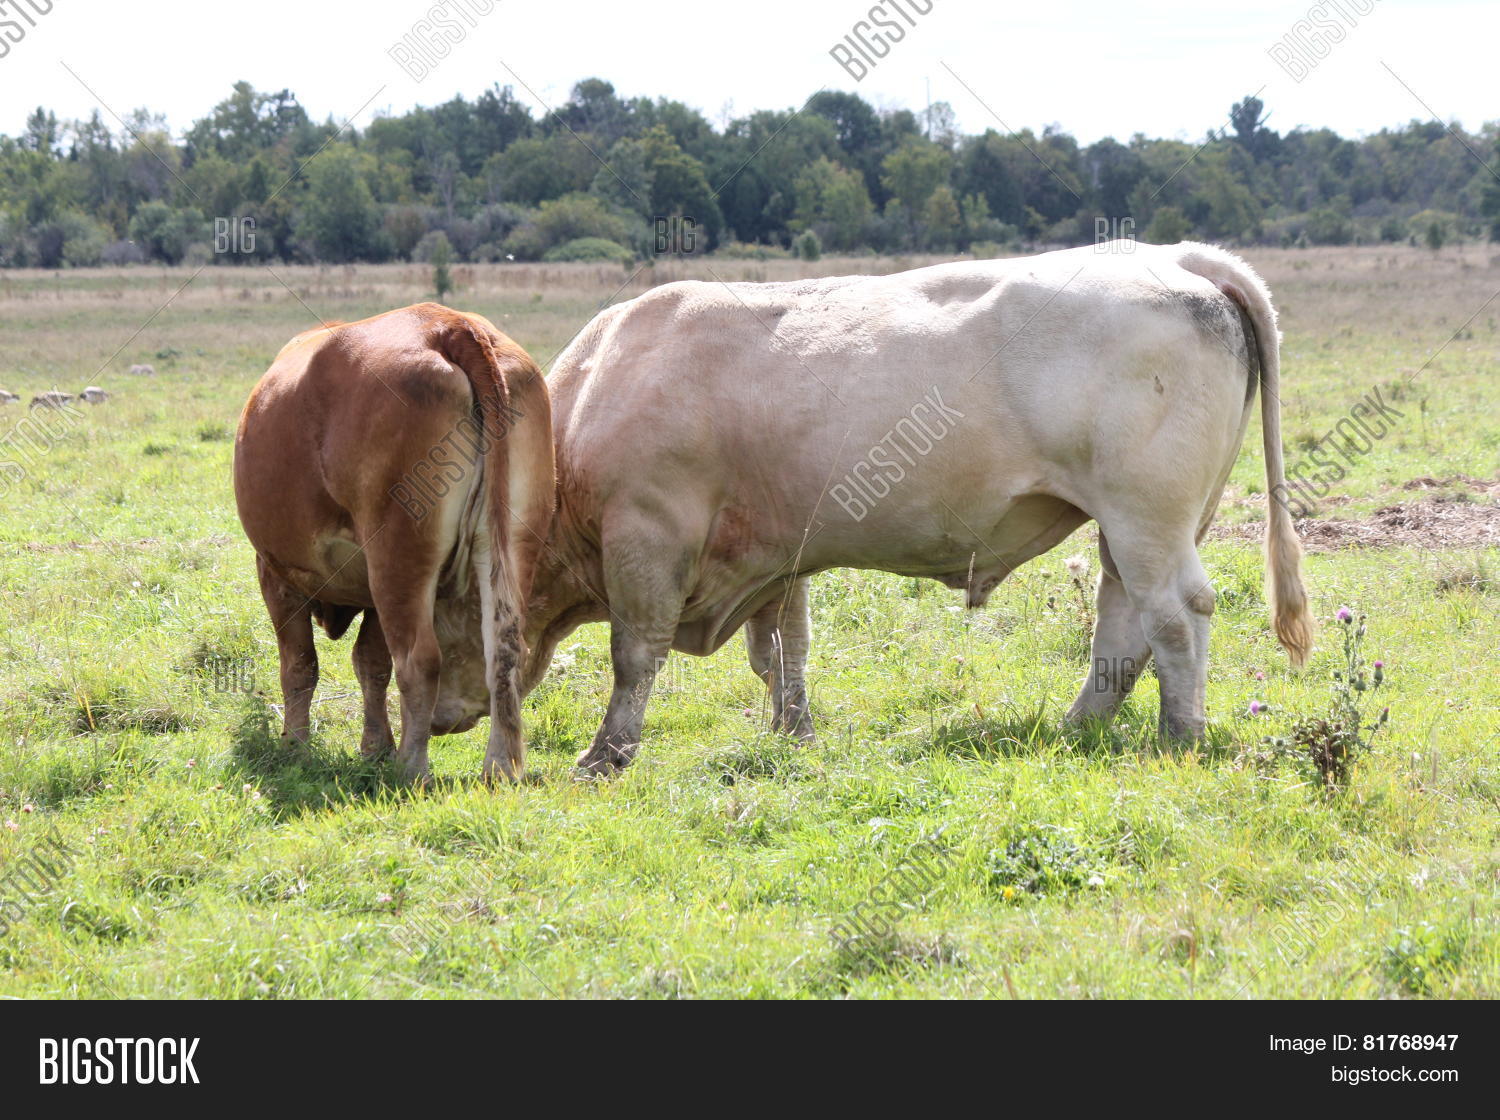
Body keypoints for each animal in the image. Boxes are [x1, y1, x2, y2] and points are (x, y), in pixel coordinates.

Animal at [233, 303, 554, 782]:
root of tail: (451, 325)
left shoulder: (278, 573)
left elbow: (300, 665)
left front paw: (295, 745)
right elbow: (370, 661)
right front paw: (375, 746)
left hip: (398, 559)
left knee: (419, 661)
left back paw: (411, 767)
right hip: (506, 548)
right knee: (505, 650)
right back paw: (498, 768)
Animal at [520, 241, 1312, 776]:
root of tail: (1170, 257)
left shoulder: (647, 535)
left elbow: (635, 654)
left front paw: (605, 755)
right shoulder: (778, 550)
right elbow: (783, 649)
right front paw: (794, 735)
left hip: (1146, 516)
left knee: (1174, 616)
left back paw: (1180, 736)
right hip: (1138, 528)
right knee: (1123, 623)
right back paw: (1075, 729)